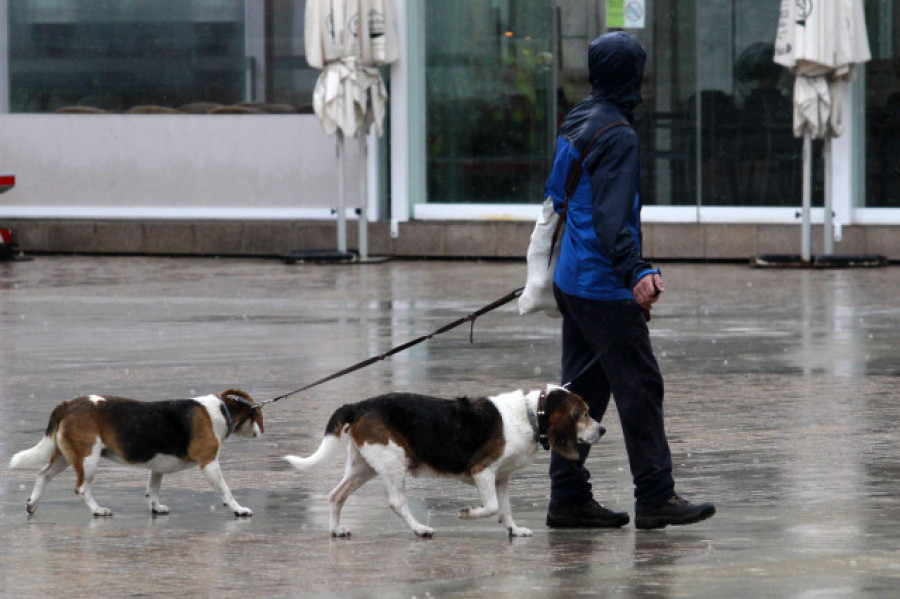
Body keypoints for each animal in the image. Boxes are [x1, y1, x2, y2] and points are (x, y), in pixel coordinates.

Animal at [11, 390, 264, 516]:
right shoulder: (209, 463)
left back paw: (32, 504)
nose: (262, 432)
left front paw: (155, 506)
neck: (221, 410)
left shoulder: (158, 465)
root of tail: (68, 404)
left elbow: (153, 488)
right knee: (81, 488)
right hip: (88, 459)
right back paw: (97, 510)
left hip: (67, 456)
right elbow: (226, 491)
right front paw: (238, 509)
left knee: (43, 475)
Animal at [284, 384, 600, 540]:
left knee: (335, 495)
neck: (531, 414)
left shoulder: (501, 477)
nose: (603, 430)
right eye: (583, 414)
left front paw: (514, 529)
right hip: (392, 461)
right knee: (396, 503)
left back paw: (336, 529)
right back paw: (420, 529)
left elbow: (505, 508)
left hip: (365, 466)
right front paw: (467, 514)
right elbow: (491, 506)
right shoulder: (483, 471)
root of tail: (359, 405)